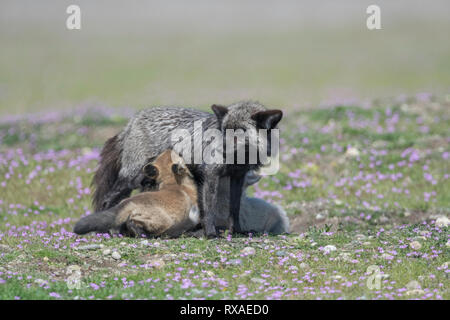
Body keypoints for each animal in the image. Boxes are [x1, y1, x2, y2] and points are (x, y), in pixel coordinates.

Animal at [91, 100, 282, 238]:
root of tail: (132, 121)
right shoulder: (211, 175)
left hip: (147, 180)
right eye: (223, 131)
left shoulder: (237, 177)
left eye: (238, 133)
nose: (216, 149)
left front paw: (237, 231)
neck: (240, 159)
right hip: (132, 178)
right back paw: (110, 231)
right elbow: (209, 208)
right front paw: (210, 233)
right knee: (108, 200)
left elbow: (234, 208)